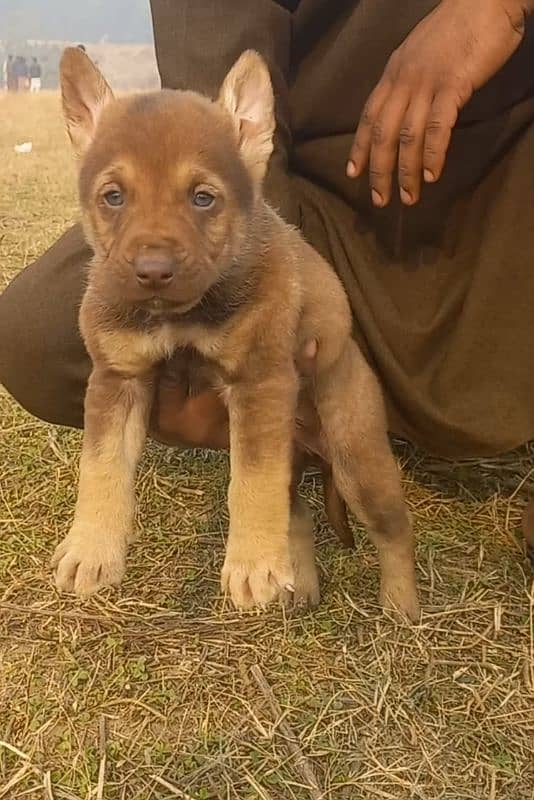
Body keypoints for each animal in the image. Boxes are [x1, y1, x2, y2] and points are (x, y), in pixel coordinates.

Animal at [53, 47, 422, 620]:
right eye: (113, 197)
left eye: (203, 199)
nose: (153, 271)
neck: (181, 316)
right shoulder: (117, 379)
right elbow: (101, 467)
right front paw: (91, 549)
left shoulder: (260, 382)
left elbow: (250, 483)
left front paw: (249, 566)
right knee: (296, 516)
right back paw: (298, 583)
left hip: (358, 461)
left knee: (393, 530)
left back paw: (401, 602)